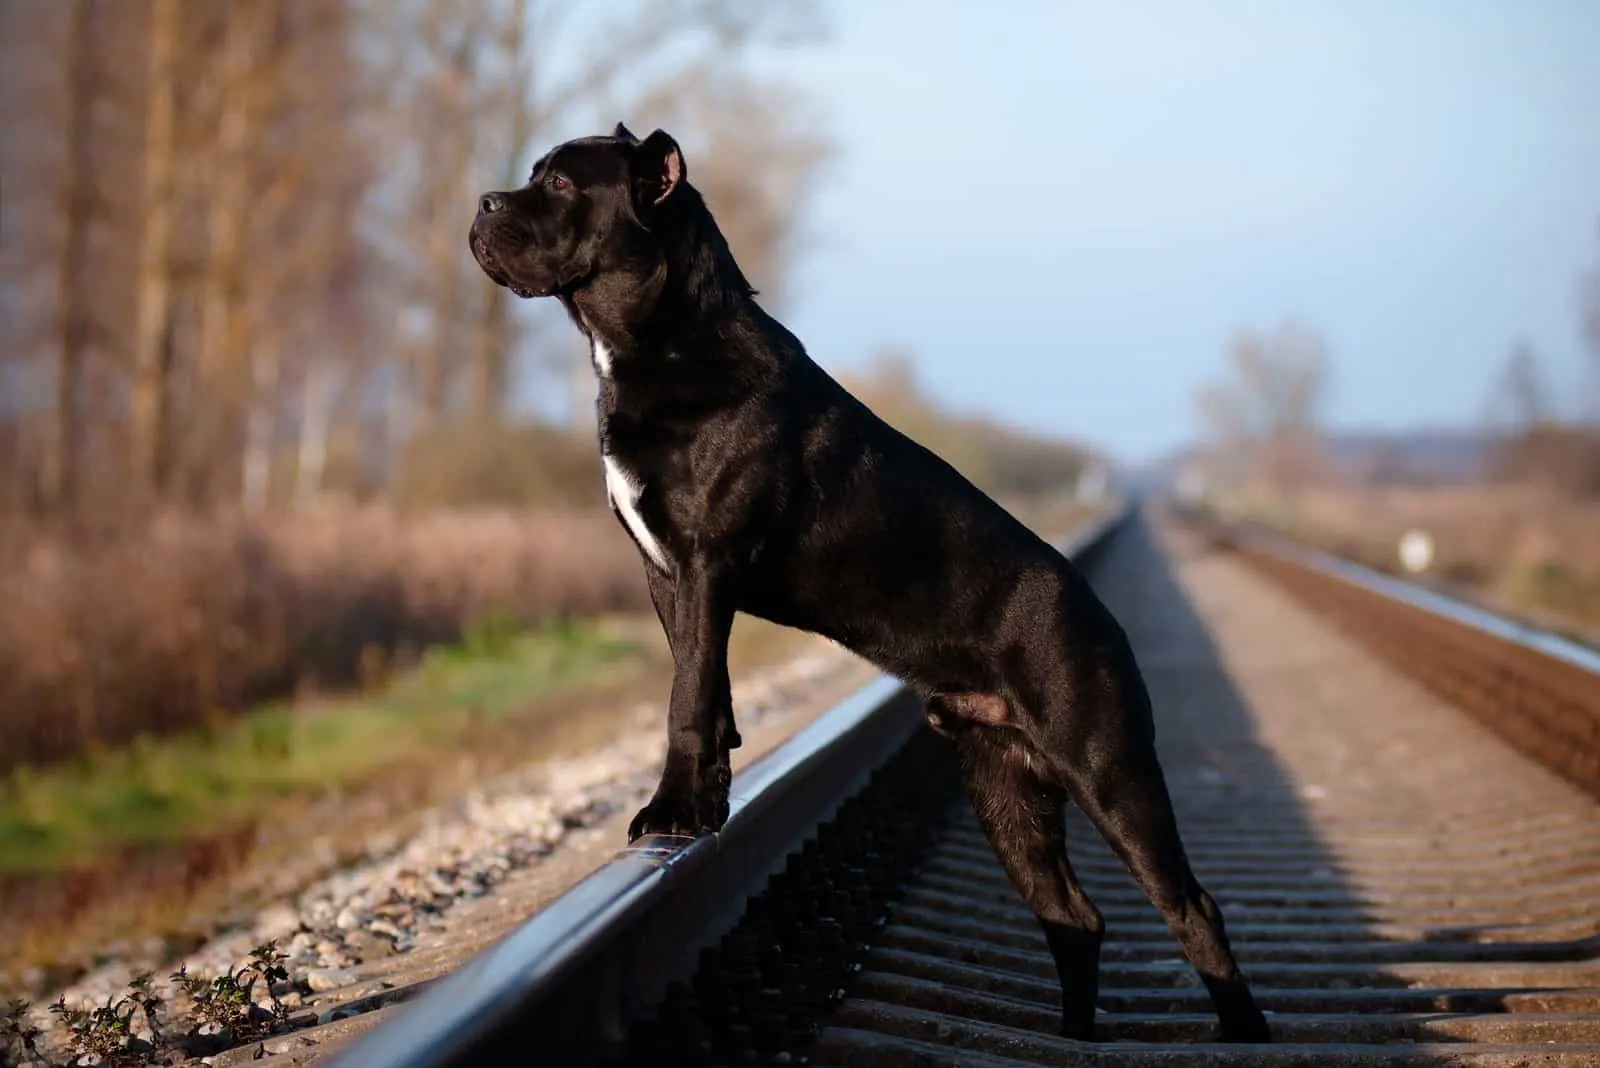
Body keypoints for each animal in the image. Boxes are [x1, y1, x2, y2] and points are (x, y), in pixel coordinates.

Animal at [467, 125, 1267, 1042]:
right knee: (1073, 916)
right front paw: (708, 801)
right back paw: (1072, 1034)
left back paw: (1242, 1031)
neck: (662, 337)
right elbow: (702, 683)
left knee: (1191, 908)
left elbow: (685, 700)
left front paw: (670, 813)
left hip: (1110, 771)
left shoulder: (704, 562)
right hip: (1004, 791)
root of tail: (1104, 619)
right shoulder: (667, 573)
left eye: (562, 183)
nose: (483, 202)